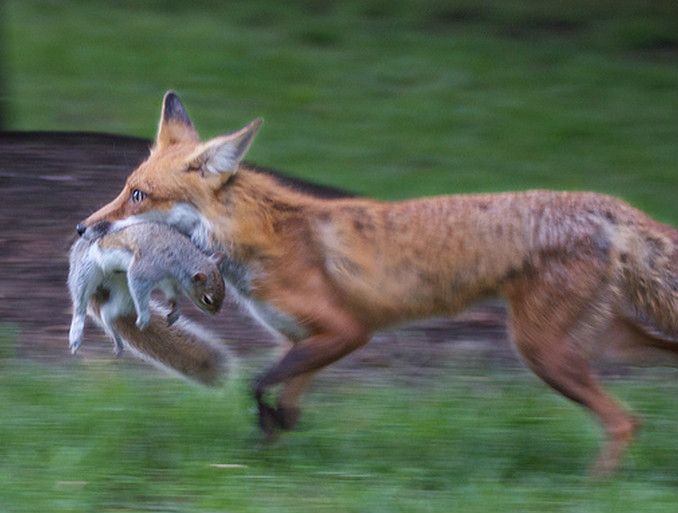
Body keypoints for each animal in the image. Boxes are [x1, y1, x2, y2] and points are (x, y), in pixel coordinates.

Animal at [75, 91, 678, 472]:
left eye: (138, 196)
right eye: (125, 187)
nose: (83, 227)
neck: (263, 241)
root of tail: (606, 204)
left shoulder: (347, 331)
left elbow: (257, 385)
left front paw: (268, 433)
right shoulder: (304, 341)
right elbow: (280, 400)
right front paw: (267, 452)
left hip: (542, 349)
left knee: (624, 423)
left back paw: (593, 490)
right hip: (599, 342)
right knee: (641, 403)